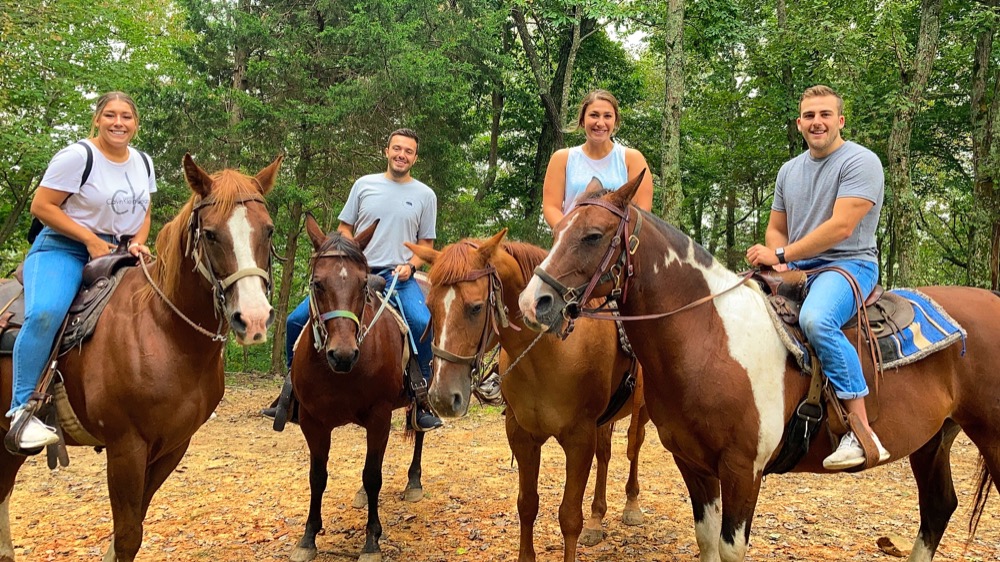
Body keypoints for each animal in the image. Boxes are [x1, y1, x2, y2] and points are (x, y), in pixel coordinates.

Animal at [0, 153, 282, 560]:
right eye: (211, 234)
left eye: (269, 230)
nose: (255, 318)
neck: (164, 332)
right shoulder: (126, 448)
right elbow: (127, 535)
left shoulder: (172, 447)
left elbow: (133, 530)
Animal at [292, 214, 428, 560]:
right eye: (317, 283)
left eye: (363, 285)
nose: (342, 355)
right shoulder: (312, 421)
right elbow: (317, 476)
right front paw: (308, 537)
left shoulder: (379, 418)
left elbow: (373, 476)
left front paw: (371, 540)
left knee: (420, 430)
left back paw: (414, 483)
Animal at [406, 229, 648, 560]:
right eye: (429, 306)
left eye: (476, 307)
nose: (443, 397)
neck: (550, 351)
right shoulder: (521, 435)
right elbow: (527, 505)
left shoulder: (579, 439)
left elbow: (569, 516)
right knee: (606, 453)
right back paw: (597, 520)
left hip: (641, 409)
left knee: (634, 447)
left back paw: (632, 505)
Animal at [520, 172, 1000, 560]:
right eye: (558, 230)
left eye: (593, 235)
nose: (532, 302)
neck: (710, 337)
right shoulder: (693, 465)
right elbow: (707, 541)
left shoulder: (742, 470)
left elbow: (731, 548)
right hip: (933, 439)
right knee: (938, 508)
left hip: (989, 438)